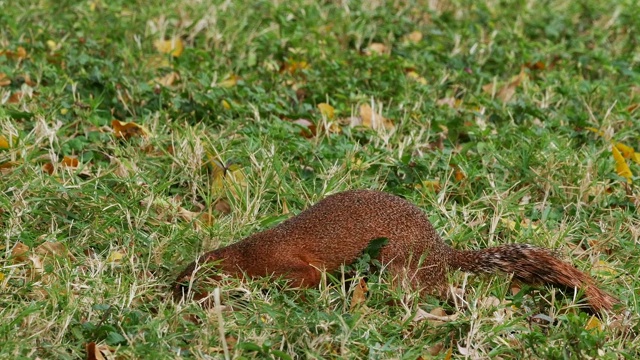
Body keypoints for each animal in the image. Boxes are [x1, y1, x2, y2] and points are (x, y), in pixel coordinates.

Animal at [172, 188, 616, 312]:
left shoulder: (286, 264)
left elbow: (307, 277)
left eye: (187, 283)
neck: (247, 254)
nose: (172, 295)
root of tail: (441, 250)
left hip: (396, 261)